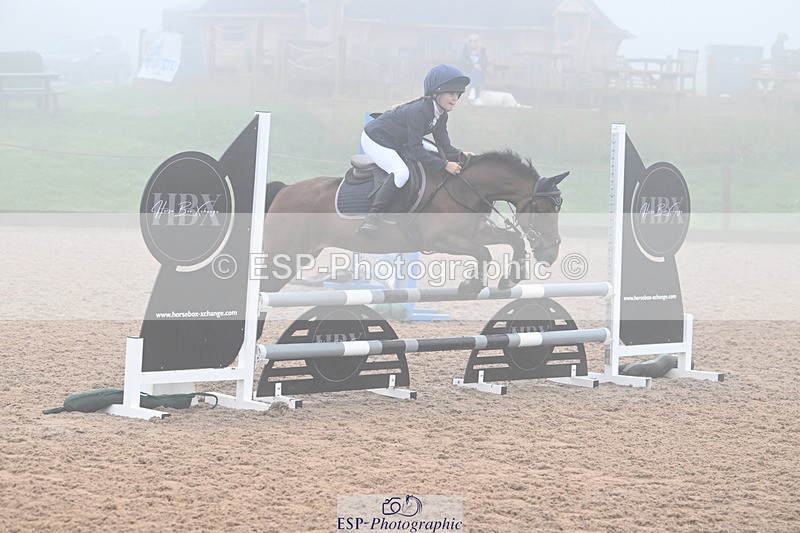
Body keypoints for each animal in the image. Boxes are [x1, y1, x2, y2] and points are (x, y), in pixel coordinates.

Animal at [261, 150, 567, 295]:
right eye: (546, 208)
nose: (552, 255)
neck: (463, 188)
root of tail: (285, 189)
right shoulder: (440, 239)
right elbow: (483, 253)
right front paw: (471, 286)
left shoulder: (475, 232)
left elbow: (512, 240)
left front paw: (511, 277)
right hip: (283, 254)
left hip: (302, 255)